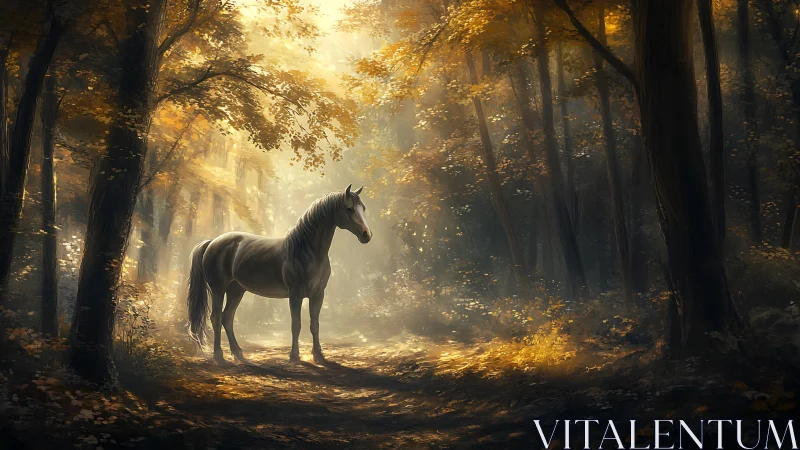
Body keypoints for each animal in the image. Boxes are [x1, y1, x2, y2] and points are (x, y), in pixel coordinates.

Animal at [186, 184, 372, 364]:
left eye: (363, 208)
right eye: (349, 208)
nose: (367, 235)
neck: (306, 252)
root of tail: (212, 242)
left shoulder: (318, 295)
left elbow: (315, 325)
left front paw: (319, 356)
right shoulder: (295, 294)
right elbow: (296, 325)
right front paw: (294, 357)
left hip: (236, 290)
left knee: (227, 318)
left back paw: (239, 354)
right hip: (218, 289)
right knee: (216, 318)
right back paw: (219, 357)